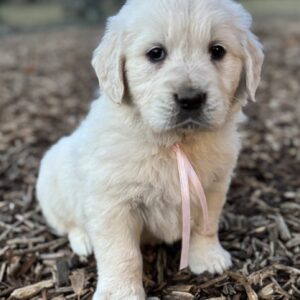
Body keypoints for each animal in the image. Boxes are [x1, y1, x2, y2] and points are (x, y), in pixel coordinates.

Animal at [36, 0, 264, 298]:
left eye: (217, 51)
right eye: (155, 54)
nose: (190, 99)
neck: (175, 142)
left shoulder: (213, 186)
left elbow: (206, 225)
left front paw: (208, 258)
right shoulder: (112, 204)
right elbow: (122, 253)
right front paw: (120, 292)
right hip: (53, 185)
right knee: (68, 223)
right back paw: (83, 239)